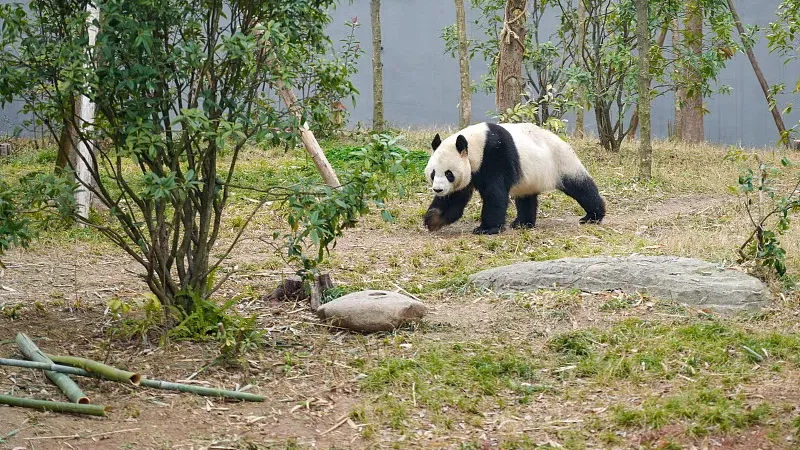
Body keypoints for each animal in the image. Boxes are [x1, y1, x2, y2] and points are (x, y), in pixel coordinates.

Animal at [423, 122, 606, 235]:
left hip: (560, 162)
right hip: (531, 177)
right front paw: (433, 219)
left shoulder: (495, 155)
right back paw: (522, 223)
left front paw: (486, 229)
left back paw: (593, 216)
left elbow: (495, 193)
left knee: (580, 187)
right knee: (526, 198)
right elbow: (456, 198)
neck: (476, 145)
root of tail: (563, 141)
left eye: (449, 173)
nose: (438, 189)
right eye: (433, 173)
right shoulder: (471, 170)